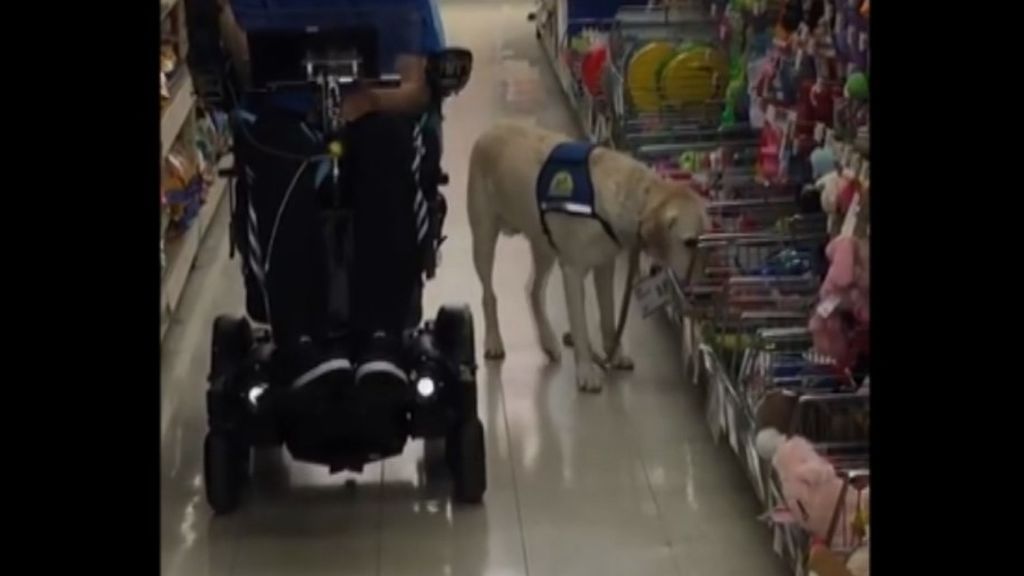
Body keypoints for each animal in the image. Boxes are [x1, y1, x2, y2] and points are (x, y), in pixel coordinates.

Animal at [468, 120, 708, 389]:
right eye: (689, 242)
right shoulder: (572, 272)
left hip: (544, 245)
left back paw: (548, 341)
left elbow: (608, 317)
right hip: (484, 238)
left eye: (705, 237)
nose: (704, 294)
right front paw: (585, 371)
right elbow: (580, 327)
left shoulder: (605, 266)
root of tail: (492, 129)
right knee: (489, 294)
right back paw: (494, 340)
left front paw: (614, 354)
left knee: (533, 290)